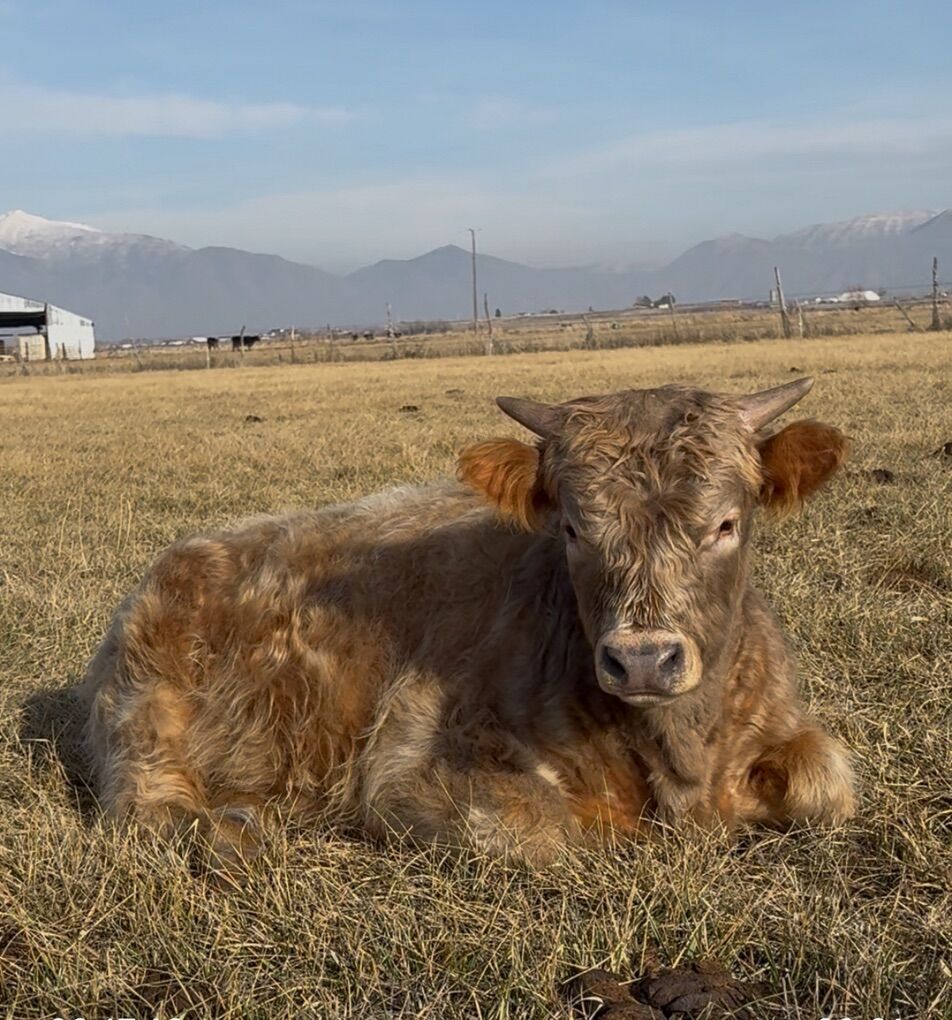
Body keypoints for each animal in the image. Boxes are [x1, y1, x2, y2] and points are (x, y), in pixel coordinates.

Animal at [81, 377, 855, 880]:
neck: (681, 759)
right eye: (573, 528)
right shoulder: (405, 765)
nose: (642, 660)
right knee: (146, 811)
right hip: (147, 727)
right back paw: (234, 831)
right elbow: (545, 827)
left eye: (725, 523)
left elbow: (828, 782)